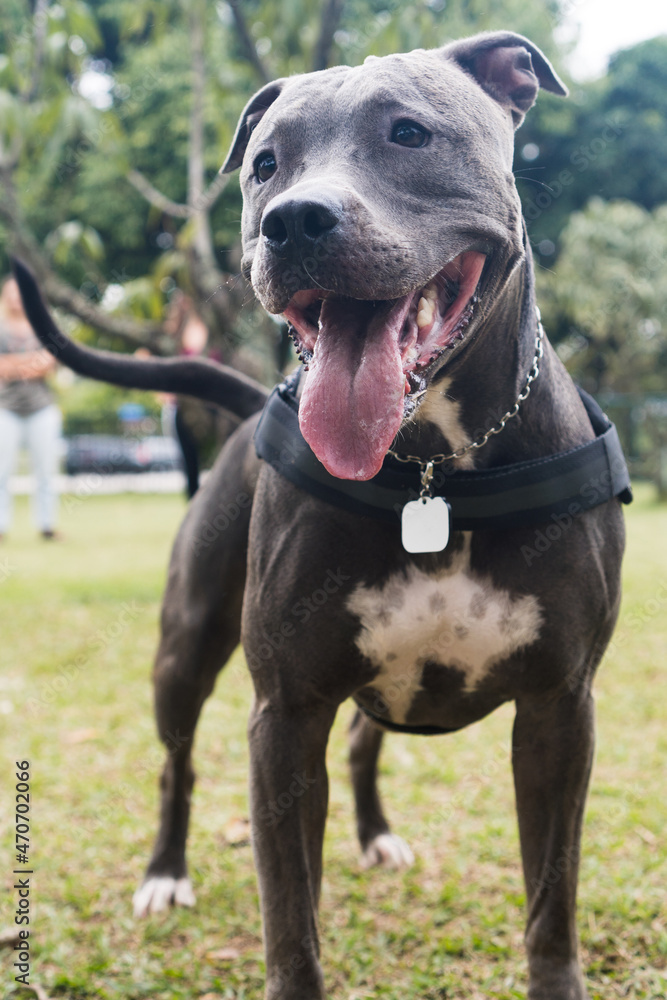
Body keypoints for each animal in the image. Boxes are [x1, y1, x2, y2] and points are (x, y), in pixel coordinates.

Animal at [18, 31, 628, 1000]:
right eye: (264, 165)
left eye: (408, 134)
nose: (292, 221)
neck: (431, 470)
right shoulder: (285, 712)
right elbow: (288, 914)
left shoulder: (559, 710)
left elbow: (551, 899)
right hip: (184, 647)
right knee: (177, 764)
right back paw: (164, 873)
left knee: (362, 743)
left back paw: (374, 834)